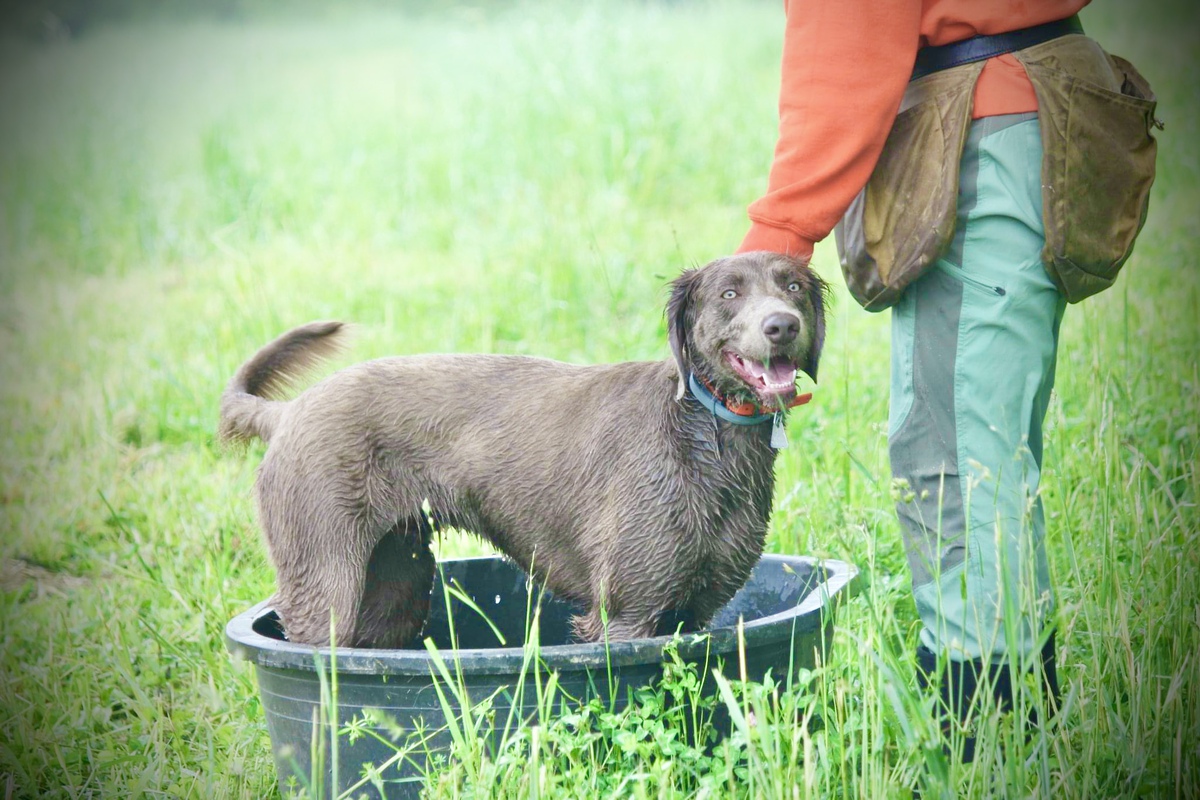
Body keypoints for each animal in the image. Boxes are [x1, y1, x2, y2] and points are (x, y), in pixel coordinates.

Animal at [220, 253, 825, 647]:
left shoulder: (695, 614)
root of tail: (287, 413)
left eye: (793, 286)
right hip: (327, 589)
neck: (704, 435)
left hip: (394, 587)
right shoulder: (625, 614)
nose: (782, 325)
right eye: (729, 293)